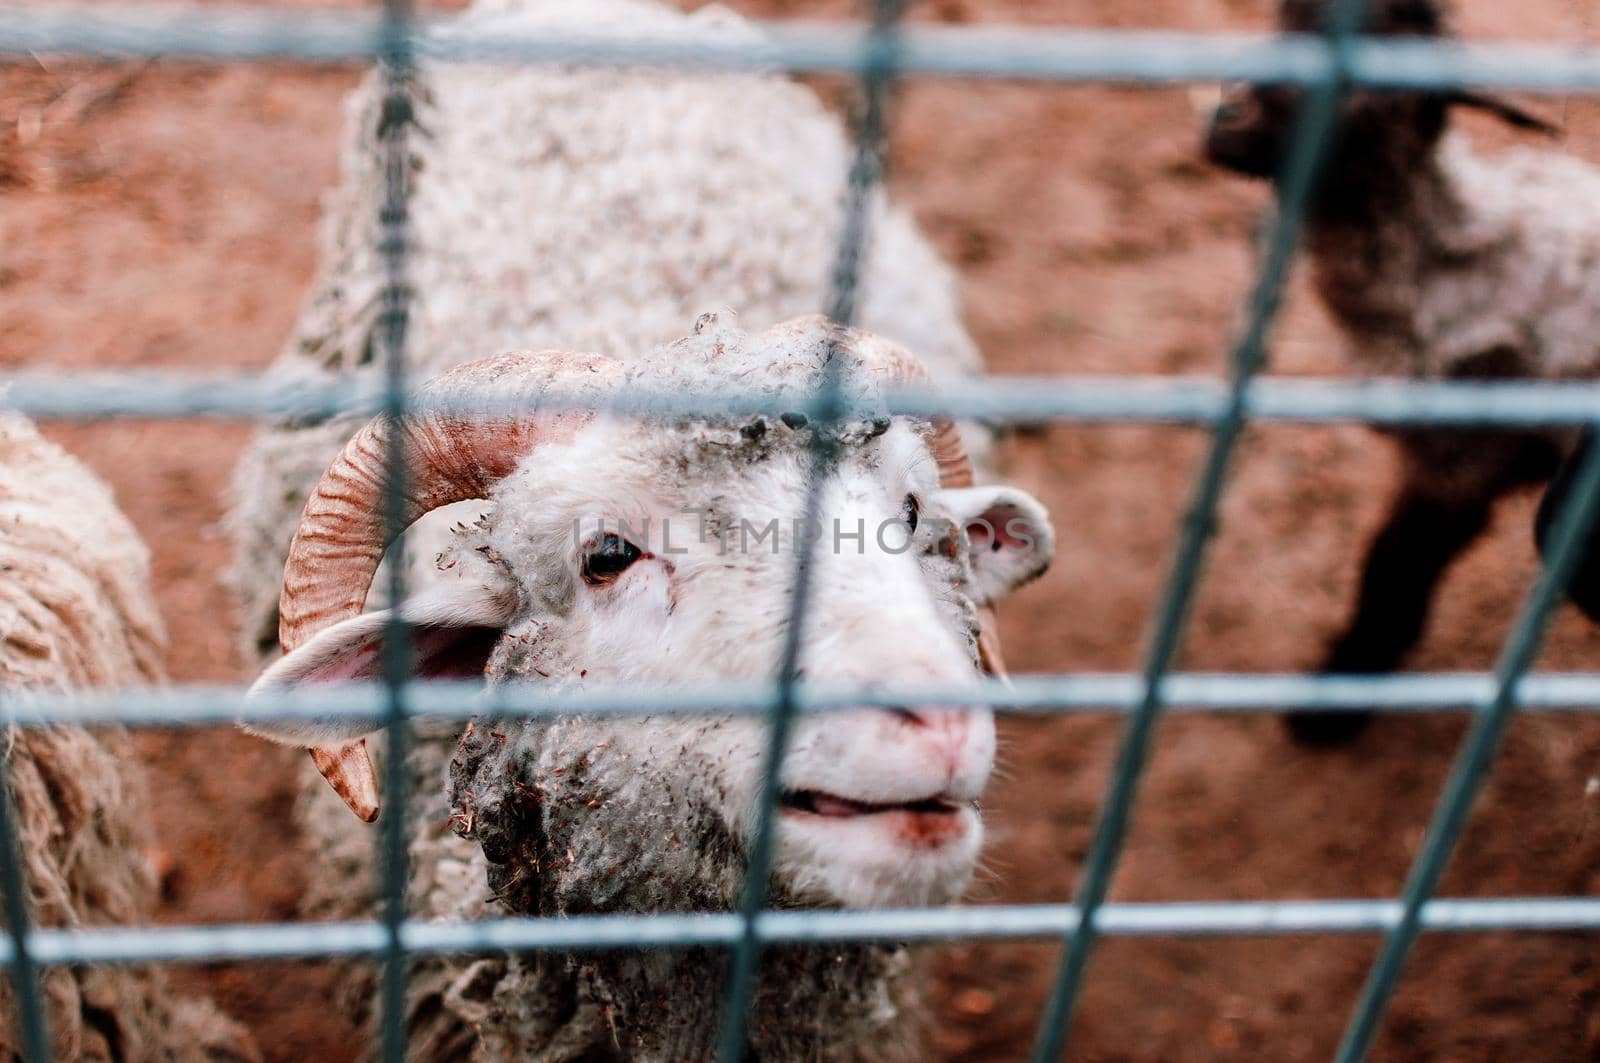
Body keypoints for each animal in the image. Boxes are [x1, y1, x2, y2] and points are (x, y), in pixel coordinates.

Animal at [1203, 0, 1593, 739]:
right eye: (1284, 20)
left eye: (1384, 98)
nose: (1226, 120)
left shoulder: (1460, 460)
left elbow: (1392, 566)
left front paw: (1334, 699)